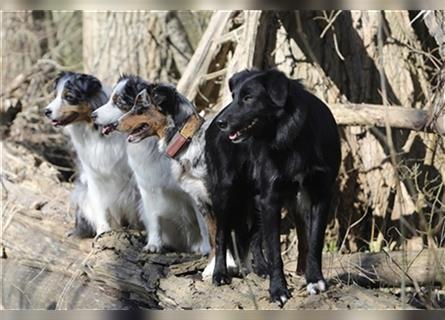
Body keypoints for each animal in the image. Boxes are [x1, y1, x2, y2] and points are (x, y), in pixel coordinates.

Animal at [205, 69, 340, 304]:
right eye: (234, 96)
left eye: (248, 98)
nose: (222, 123)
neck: (293, 137)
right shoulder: (271, 197)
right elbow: (275, 250)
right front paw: (278, 290)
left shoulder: (320, 194)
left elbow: (315, 241)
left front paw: (315, 280)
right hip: (226, 192)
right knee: (221, 235)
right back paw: (220, 274)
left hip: (258, 199)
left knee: (252, 237)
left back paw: (261, 268)